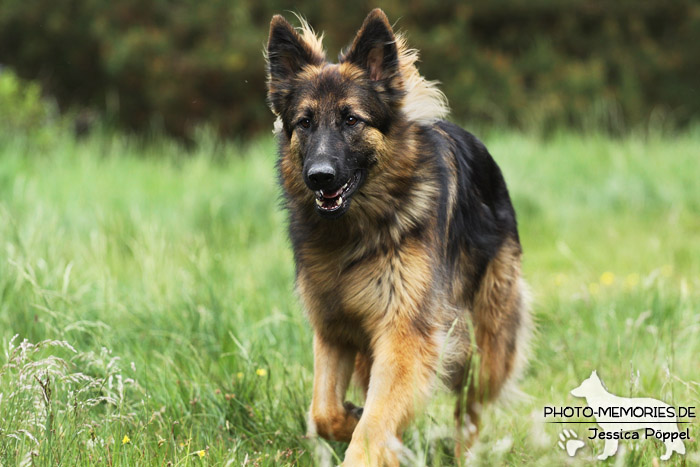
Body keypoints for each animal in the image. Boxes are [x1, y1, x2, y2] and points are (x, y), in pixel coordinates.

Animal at [266, 9, 532, 466]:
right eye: (305, 122)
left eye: (351, 119)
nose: (319, 176)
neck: (355, 234)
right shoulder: (334, 329)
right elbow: (324, 412)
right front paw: (352, 418)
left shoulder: (405, 333)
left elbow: (373, 427)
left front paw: (365, 442)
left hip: (488, 344)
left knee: (470, 407)